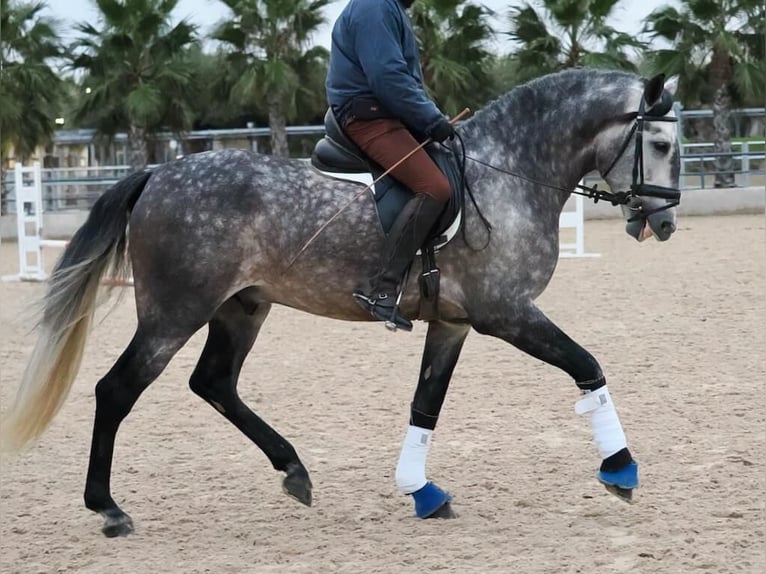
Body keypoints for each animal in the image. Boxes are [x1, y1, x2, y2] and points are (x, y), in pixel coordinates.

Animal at [1, 70, 684, 536]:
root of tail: (157, 175)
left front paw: (422, 491)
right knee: (117, 391)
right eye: (661, 144)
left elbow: (425, 406)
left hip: (241, 308)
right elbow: (587, 366)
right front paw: (621, 470)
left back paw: (293, 471)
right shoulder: (506, 315)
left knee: (214, 383)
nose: (664, 223)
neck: (507, 173)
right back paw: (109, 509)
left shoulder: (455, 324)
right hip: (174, 313)